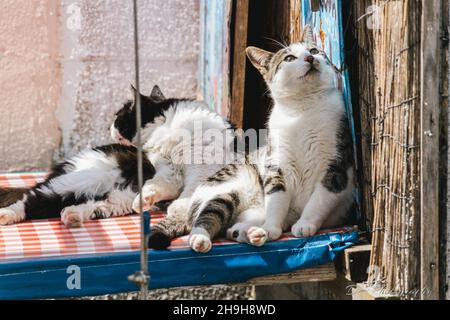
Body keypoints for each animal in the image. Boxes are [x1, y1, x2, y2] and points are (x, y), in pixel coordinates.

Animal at [185, 26, 354, 252]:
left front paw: (305, 224)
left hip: (250, 213)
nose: (310, 58)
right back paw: (201, 239)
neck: (303, 109)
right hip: (226, 192)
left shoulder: (336, 165)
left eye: (314, 50)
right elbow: (277, 199)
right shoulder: (277, 165)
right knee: (208, 216)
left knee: (231, 230)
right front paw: (272, 227)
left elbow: (319, 200)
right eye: (289, 58)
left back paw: (252, 233)